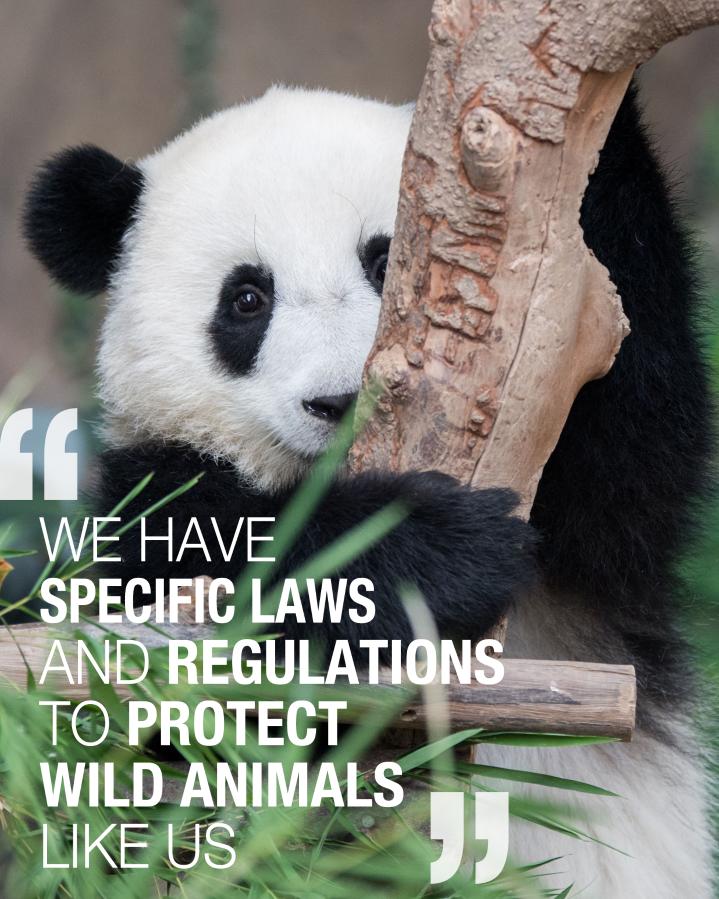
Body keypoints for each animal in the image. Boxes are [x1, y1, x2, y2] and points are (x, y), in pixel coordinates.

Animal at [23, 84, 713, 896]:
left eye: (386, 262)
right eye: (247, 299)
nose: (337, 400)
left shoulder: (600, 527)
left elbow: (638, 435)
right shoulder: (148, 503)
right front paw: (437, 548)